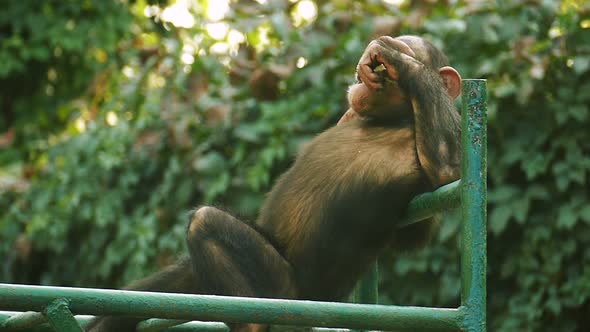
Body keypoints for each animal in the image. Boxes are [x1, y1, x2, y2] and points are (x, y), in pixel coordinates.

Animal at [86, 35, 462, 330]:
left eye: (404, 45)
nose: (369, 66)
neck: (392, 119)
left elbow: (446, 171)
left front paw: (396, 60)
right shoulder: (350, 113)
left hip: (285, 292)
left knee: (207, 223)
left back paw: (250, 322)